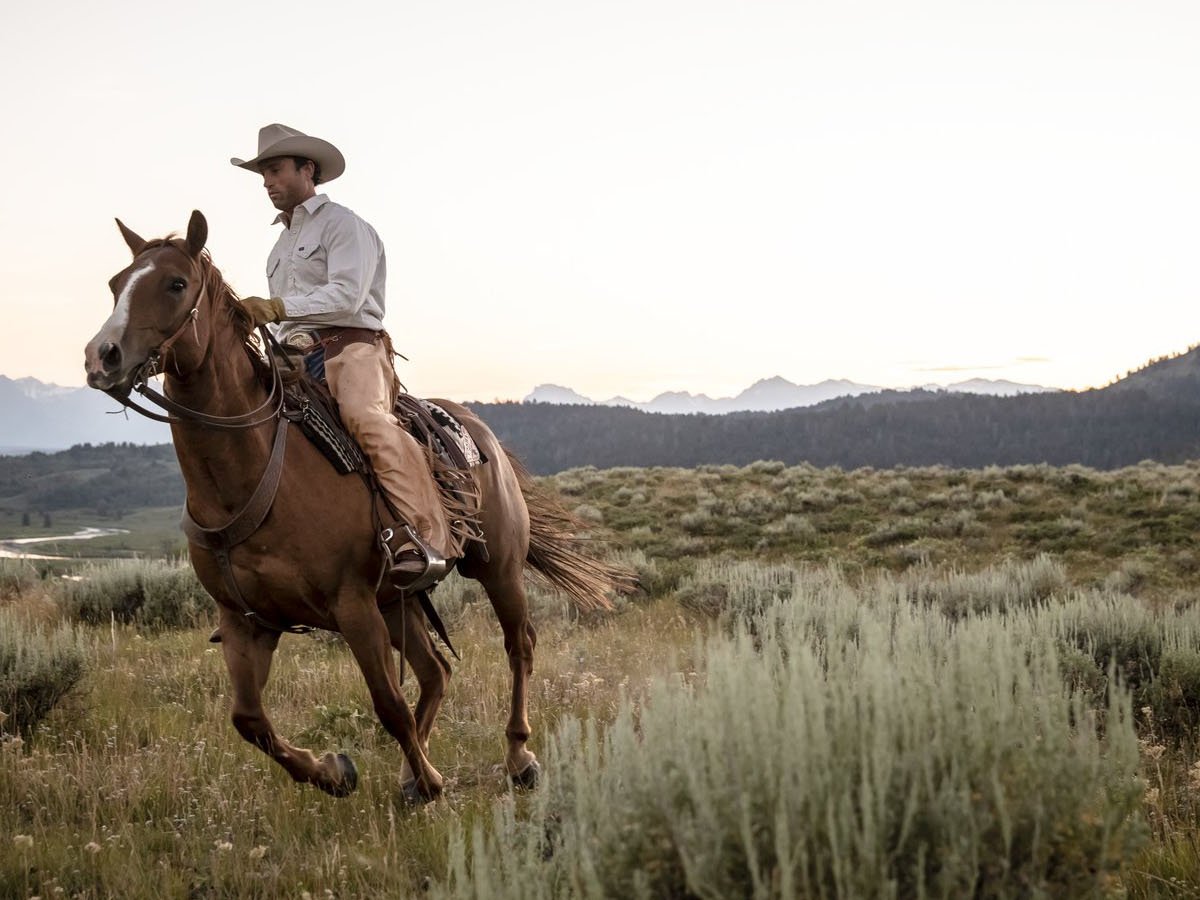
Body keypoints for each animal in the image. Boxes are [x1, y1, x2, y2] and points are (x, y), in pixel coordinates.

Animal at [81, 211, 633, 801]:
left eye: (176, 283)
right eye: (115, 284)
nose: (101, 356)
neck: (251, 474)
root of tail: (478, 428)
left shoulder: (352, 605)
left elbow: (388, 705)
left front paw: (429, 782)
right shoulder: (246, 620)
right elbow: (249, 720)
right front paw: (336, 772)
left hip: (496, 569)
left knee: (519, 646)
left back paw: (517, 758)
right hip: (399, 601)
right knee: (435, 672)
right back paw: (412, 775)